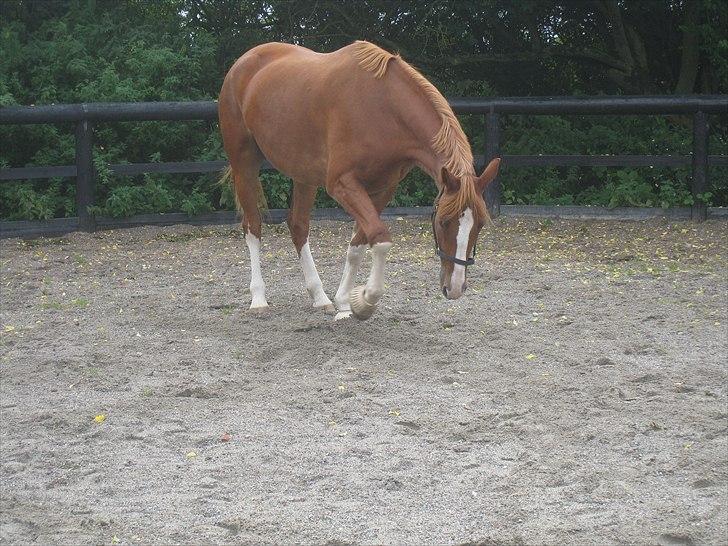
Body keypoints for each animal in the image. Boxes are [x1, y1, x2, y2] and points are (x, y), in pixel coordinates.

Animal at [218, 41, 500, 318]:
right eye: (443, 222)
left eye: (480, 224)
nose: (455, 287)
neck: (384, 108)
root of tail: (243, 63)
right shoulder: (342, 184)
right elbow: (380, 237)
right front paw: (366, 300)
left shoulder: (382, 188)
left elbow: (359, 244)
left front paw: (345, 302)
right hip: (244, 164)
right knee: (253, 226)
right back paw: (258, 299)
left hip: (304, 174)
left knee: (298, 226)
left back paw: (320, 297)